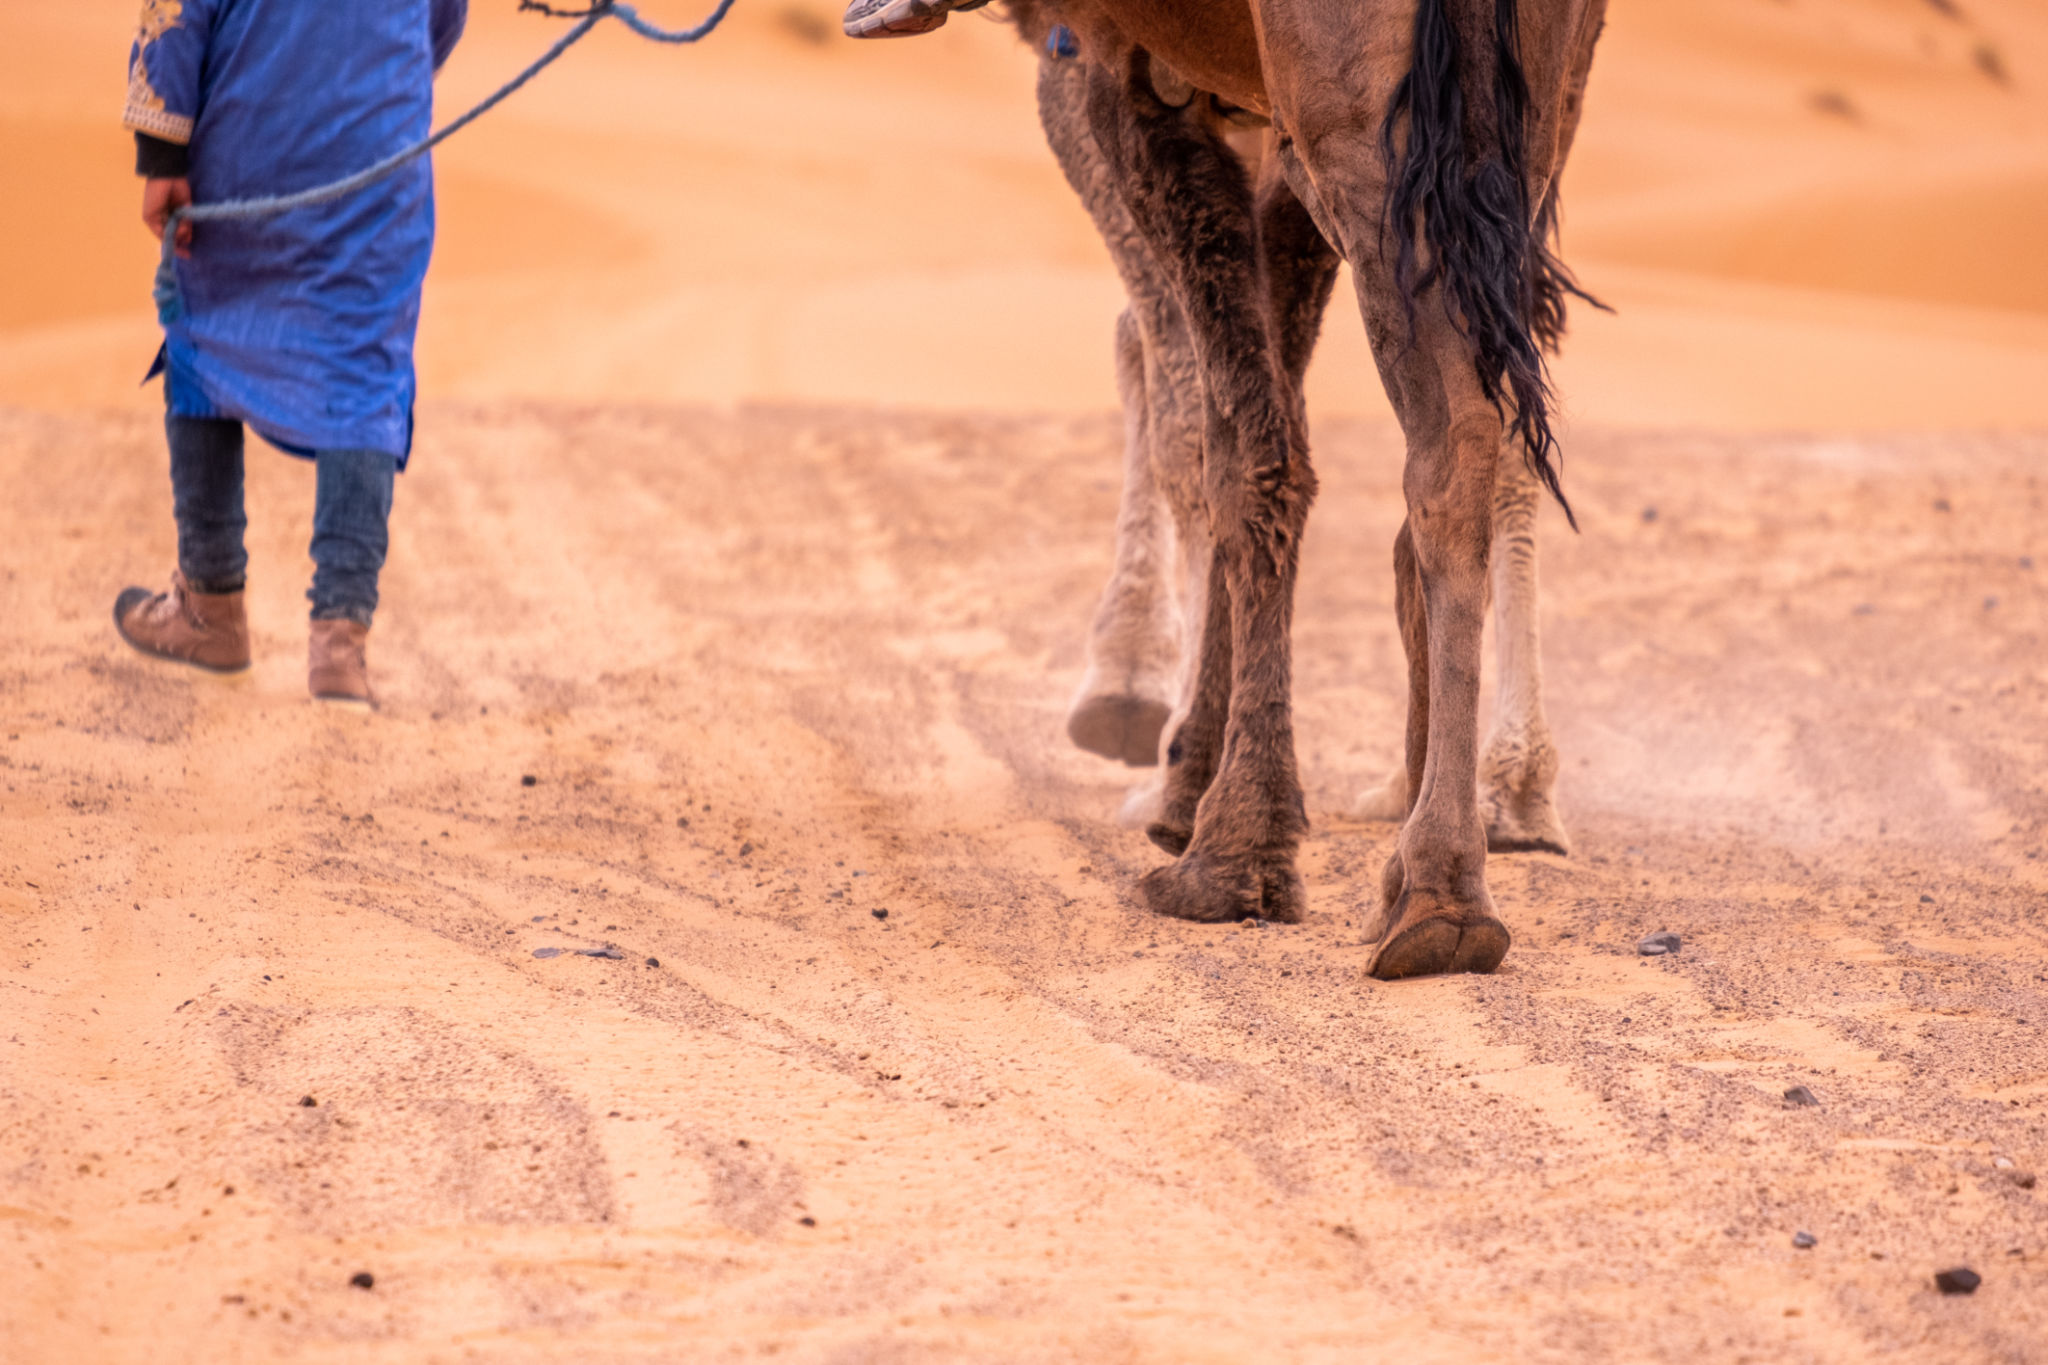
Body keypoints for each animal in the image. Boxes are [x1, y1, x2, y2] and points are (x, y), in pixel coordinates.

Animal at [1007, 0, 1604, 977]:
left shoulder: (1109, 72)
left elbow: (1202, 420)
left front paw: (1188, 786)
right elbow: (1235, 401)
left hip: (1357, 122)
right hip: (1528, 101)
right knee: (1479, 427)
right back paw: (1449, 867)